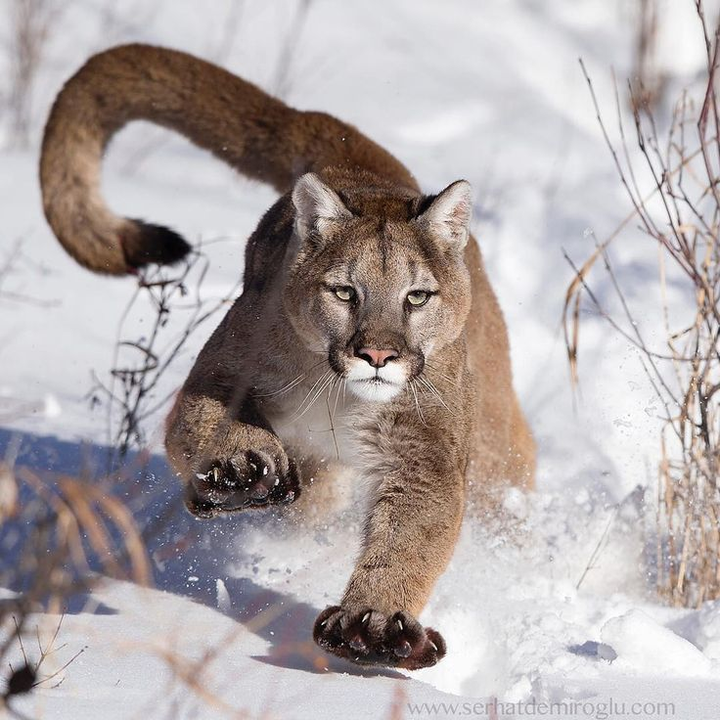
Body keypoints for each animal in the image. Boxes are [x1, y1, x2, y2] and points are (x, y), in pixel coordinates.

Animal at [40, 42, 536, 668]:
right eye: (345, 292)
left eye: (417, 296)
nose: (377, 354)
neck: (341, 397)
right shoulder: (222, 371)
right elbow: (199, 423)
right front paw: (240, 469)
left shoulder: (426, 450)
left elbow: (412, 535)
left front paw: (374, 623)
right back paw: (222, 495)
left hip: (493, 447)